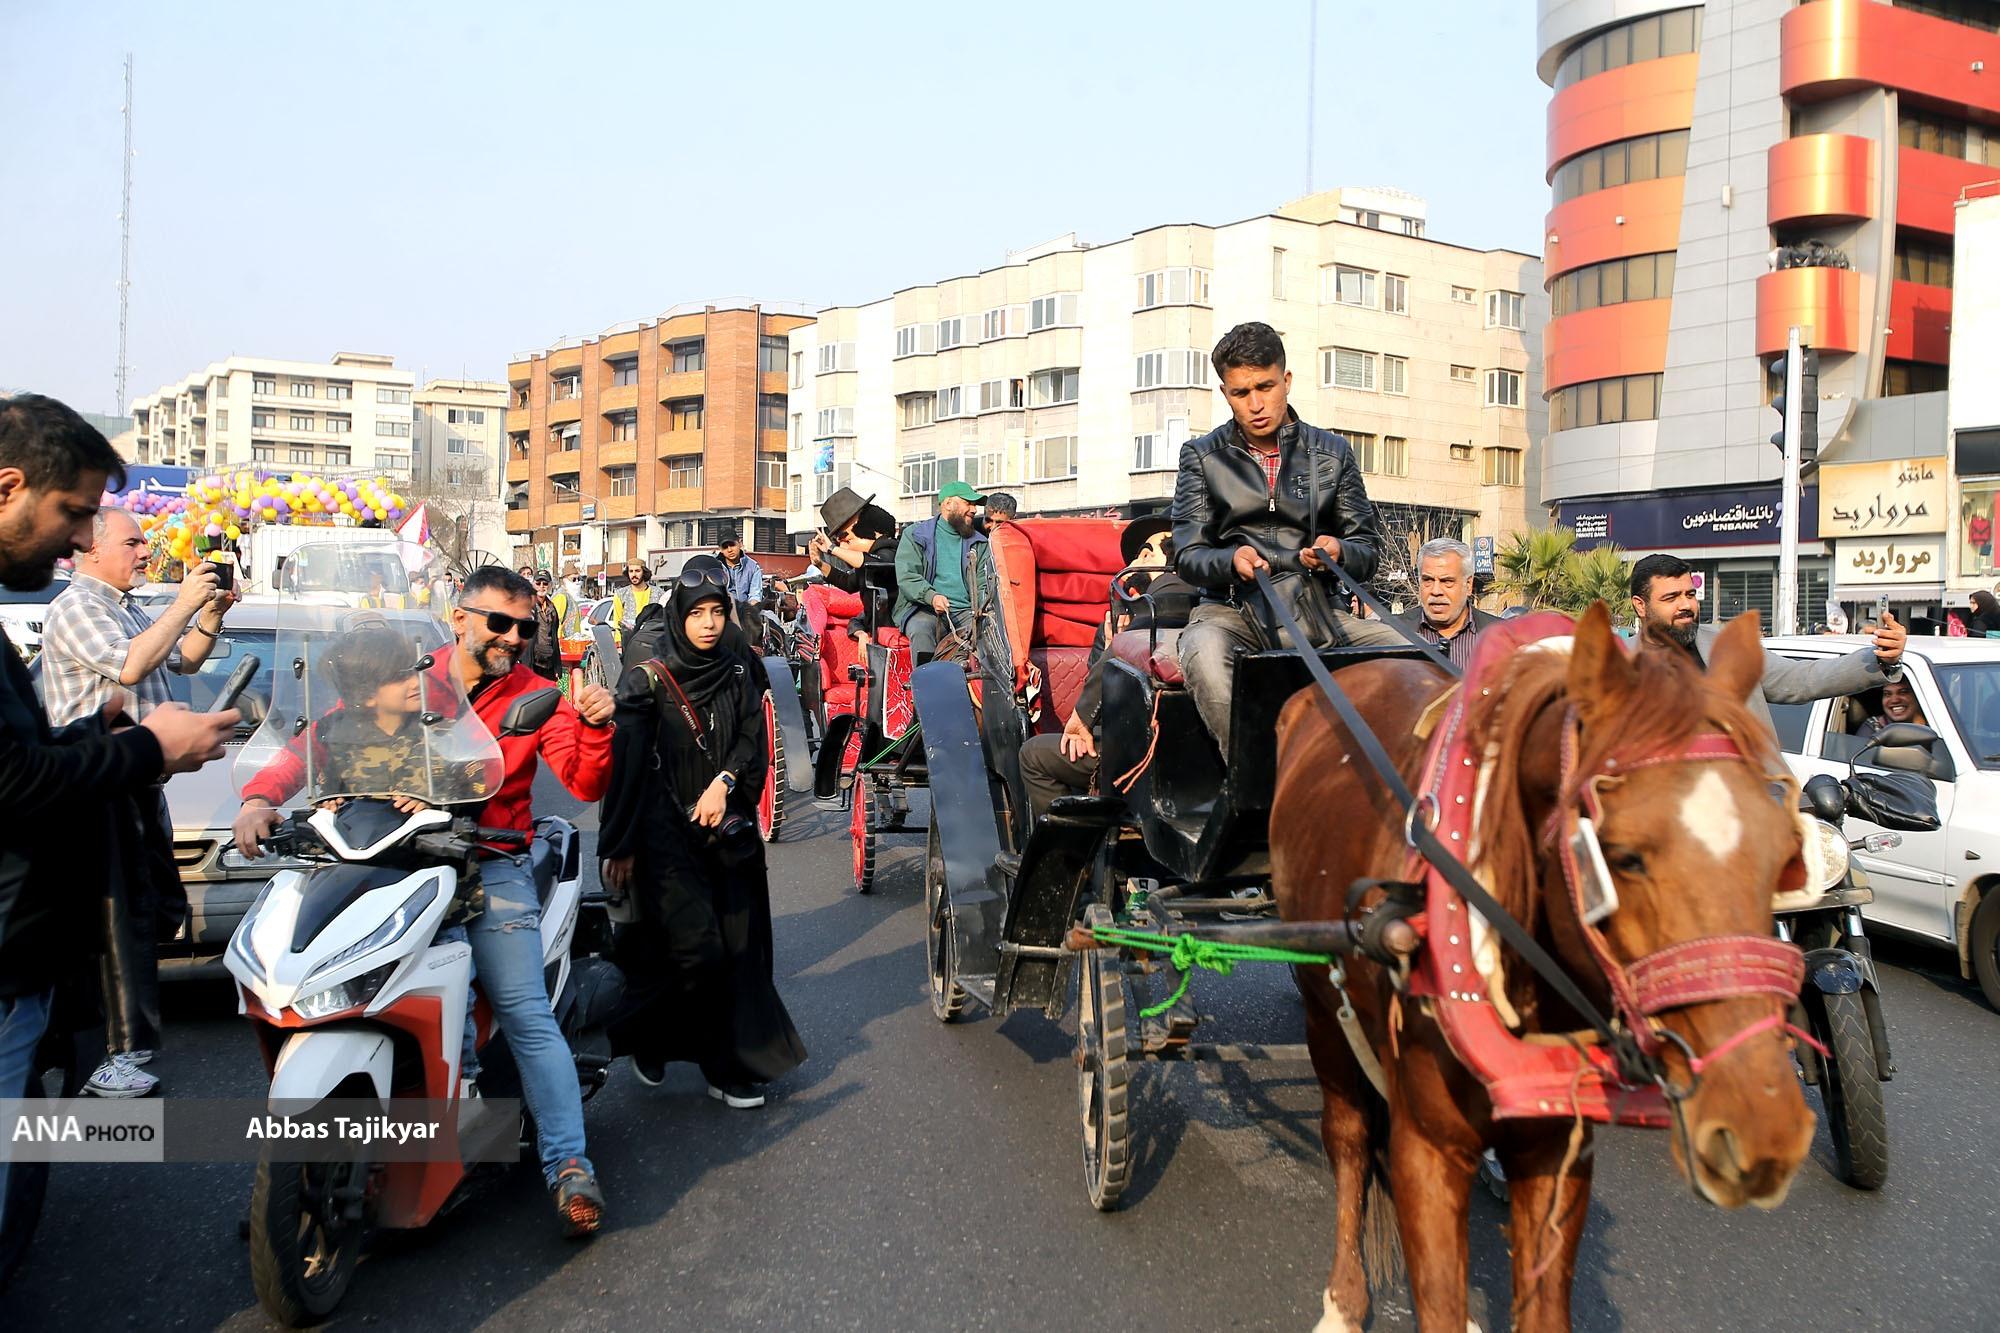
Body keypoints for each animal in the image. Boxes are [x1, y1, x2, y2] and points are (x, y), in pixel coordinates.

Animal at [1270, 605, 1817, 1332]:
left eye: (1785, 852)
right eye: (1621, 855)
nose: (1766, 1128)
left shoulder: (1559, 1144)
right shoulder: (1427, 1150)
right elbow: (1436, 1295)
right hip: (1320, 1006)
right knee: (1350, 1138)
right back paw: (1344, 1298)